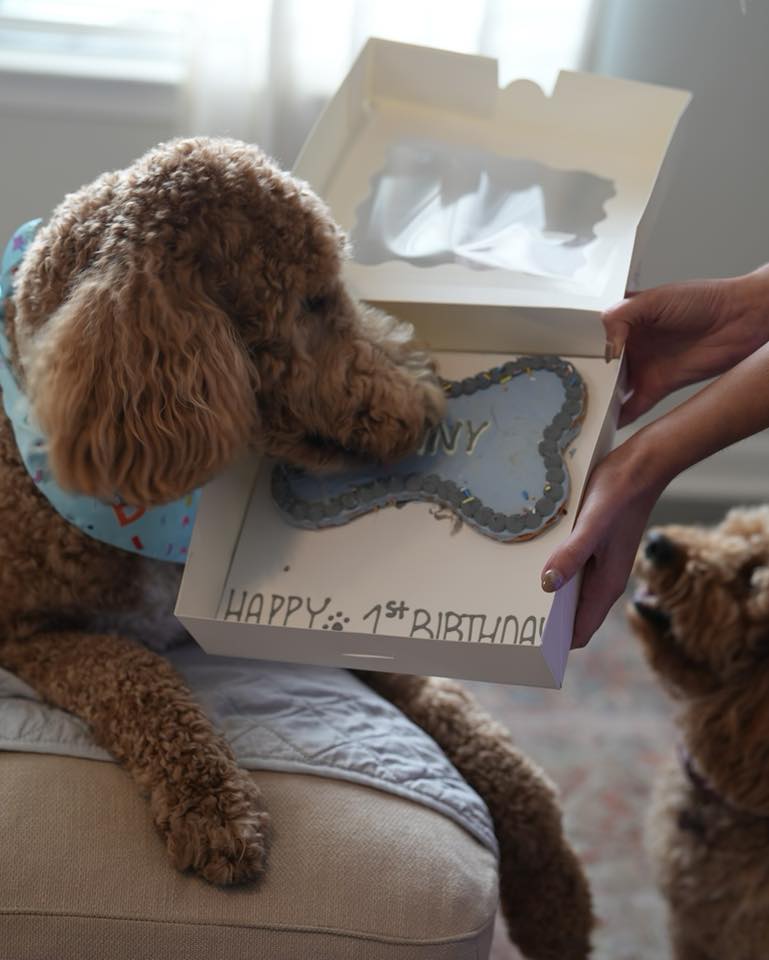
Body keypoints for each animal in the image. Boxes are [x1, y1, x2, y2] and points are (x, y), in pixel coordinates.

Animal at [0, 137, 592, 960]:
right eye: (312, 303)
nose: (428, 401)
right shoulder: (27, 634)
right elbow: (135, 671)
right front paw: (214, 806)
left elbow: (462, 717)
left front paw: (556, 894)